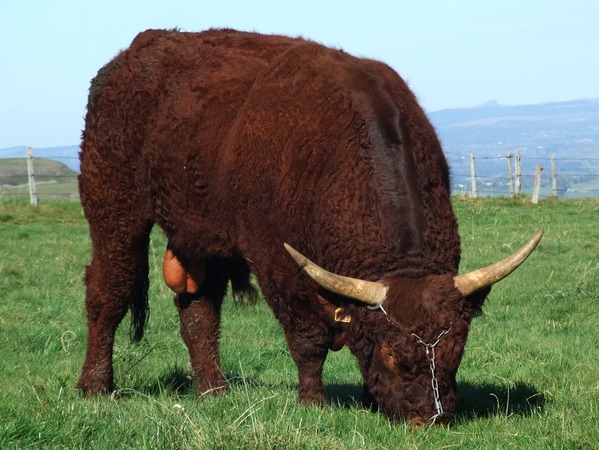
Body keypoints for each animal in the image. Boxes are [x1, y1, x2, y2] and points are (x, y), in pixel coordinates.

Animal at [76, 29, 544, 426]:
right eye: (392, 354)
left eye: (456, 350)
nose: (429, 418)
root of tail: (132, 54)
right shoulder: (275, 259)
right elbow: (307, 337)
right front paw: (314, 402)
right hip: (114, 208)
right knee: (108, 293)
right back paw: (96, 386)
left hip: (200, 234)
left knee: (199, 310)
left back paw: (213, 391)